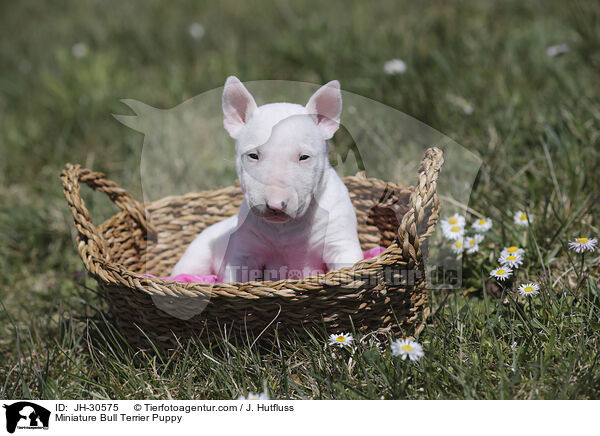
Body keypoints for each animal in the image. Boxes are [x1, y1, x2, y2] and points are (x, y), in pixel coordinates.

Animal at [171, 76, 364, 282]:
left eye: (304, 157)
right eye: (253, 155)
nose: (276, 205)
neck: (286, 228)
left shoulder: (341, 242)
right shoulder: (244, 252)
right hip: (195, 257)